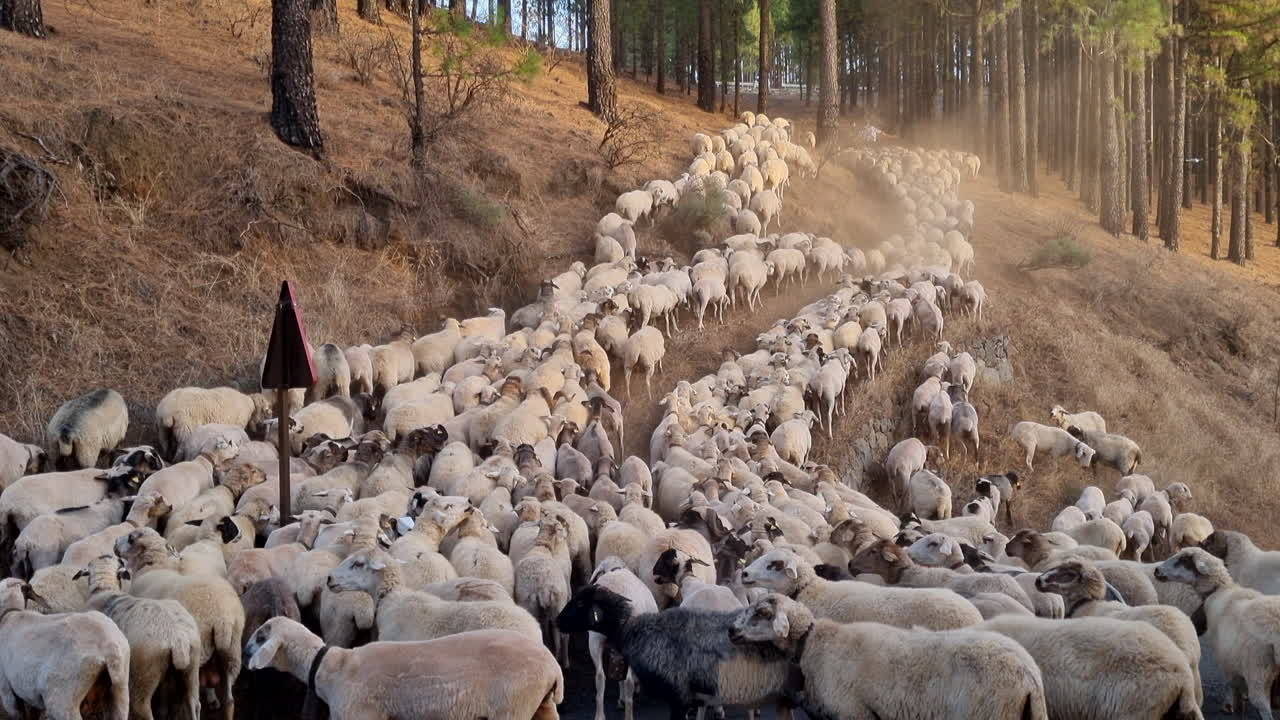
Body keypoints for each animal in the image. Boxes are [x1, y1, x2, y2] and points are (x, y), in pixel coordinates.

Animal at [76, 555, 203, 720]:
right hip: (192, 667)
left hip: (143, 672)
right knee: (193, 703)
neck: (104, 589)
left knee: (141, 708)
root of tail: (177, 638)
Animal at [114, 527, 245, 720]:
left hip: (195, 654)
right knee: (229, 699)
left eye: (131, 538)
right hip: (231, 651)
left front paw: (162, 708)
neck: (154, 564)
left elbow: (164, 685)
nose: (115, 543)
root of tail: (222, 618)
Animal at [244, 618, 563, 720]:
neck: (332, 668)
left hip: (513, 705)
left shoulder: (361, 714)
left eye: (260, 636)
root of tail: (553, 665)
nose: (244, 651)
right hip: (540, 703)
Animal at [728, 593, 1049, 720]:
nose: (731, 630)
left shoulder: (853, 711)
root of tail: (1029, 677)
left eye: (763, 613)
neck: (814, 642)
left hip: (990, 712)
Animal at [1156, 548, 1280, 720]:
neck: (1220, 591)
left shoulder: (1224, 656)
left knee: (1263, 706)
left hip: (1259, 670)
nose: (1157, 570)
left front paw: (1229, 705)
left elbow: (1229, 683)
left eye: (1184, 560)